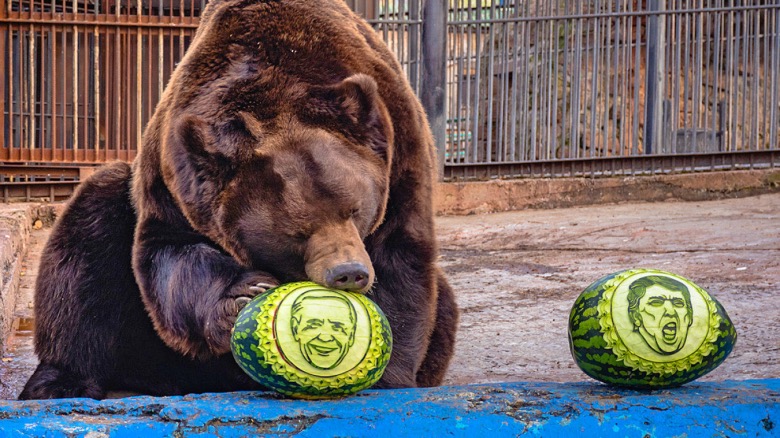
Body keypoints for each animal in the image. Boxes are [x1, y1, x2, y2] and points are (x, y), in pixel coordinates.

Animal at [19, 0, 459, 399]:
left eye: (354, 210)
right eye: (298, 231)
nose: (348, 272)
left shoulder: (399, 156)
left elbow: (402, 263)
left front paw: (384, 376)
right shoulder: (175, 176)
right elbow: (169, 254)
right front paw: (242, 294)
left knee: (445, 305)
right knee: (88, 235)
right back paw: (58, 383)